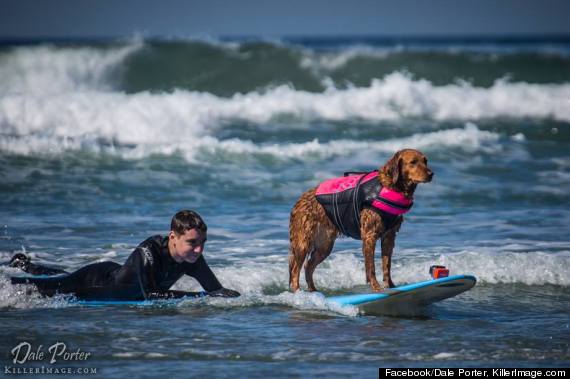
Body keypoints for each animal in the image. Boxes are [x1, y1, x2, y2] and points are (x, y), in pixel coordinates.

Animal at [288, 150, 430, 292]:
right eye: (413, 162)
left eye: (425, 161)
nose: (431, 174)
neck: (390, 186)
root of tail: (299, 200)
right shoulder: (369, 235)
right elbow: (371, 267)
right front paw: (376, 287)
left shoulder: (389, 236)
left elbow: (386, 264)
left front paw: (390, 285)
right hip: (303, 241)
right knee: (295, 270)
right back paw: (298, 292)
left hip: (324, 245)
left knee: (308, 266)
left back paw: (313, 290)